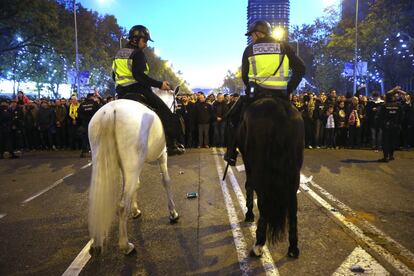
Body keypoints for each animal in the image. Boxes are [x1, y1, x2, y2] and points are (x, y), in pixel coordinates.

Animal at [88, 88, 179, 254]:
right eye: (177, 103)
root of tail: (110, 111)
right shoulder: (162, 154)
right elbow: (166, 182)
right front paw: (173, 213)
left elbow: (136, 185)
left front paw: (135, 210)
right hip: (133, 165)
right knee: (122, 205)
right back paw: (126, 245)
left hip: (105, 164)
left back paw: (96, 243)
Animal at [236, 96, 304, 258]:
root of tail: (280, 111)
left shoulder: (248, 163)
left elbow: (248, 186)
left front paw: (249, 214)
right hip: (293, 174)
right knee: (292, 205)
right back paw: (293, 247)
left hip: (260, 171)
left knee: (263, 202)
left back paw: (258, 244)